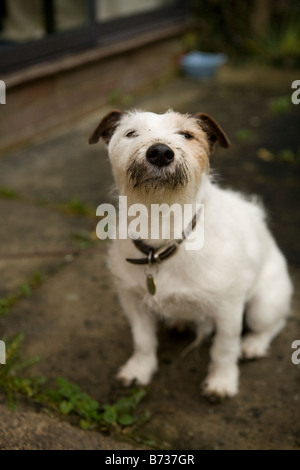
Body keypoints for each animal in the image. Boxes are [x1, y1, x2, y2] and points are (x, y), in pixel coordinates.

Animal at [89, 109, 292, 396]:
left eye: (187, 135)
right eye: (131, 133)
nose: (160, 152)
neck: (161, 225)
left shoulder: (228, 308)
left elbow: (224, 349)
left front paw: (221, 382)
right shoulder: (133, 301)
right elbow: (142, 341)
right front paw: (139, 369)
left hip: (262, 306)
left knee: (273, 324)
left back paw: (254, 344)